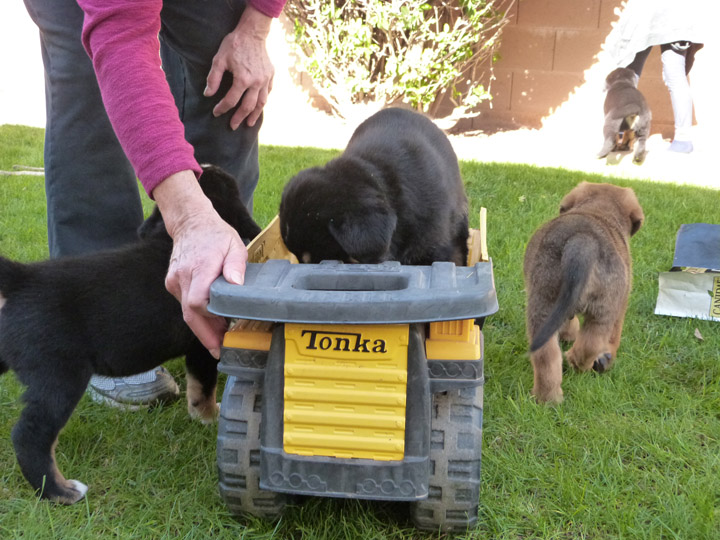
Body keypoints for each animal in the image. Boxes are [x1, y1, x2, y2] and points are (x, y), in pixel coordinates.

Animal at [0, 166, 262, 506]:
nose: (207, 165)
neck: (167, 240)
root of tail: (22, 279)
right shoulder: (203, 342)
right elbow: (204, 385)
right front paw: (208, 415)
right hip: (60, 376)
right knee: (30, 435)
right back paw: (60, 491)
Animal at [520, 184, 644, 402]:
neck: (599, 210)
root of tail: (584, 240)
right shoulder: (621, 306)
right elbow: (612, 338)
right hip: (596, 310)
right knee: (585, 345)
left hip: (547, 305)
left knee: (552, 355)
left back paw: (550, 397)